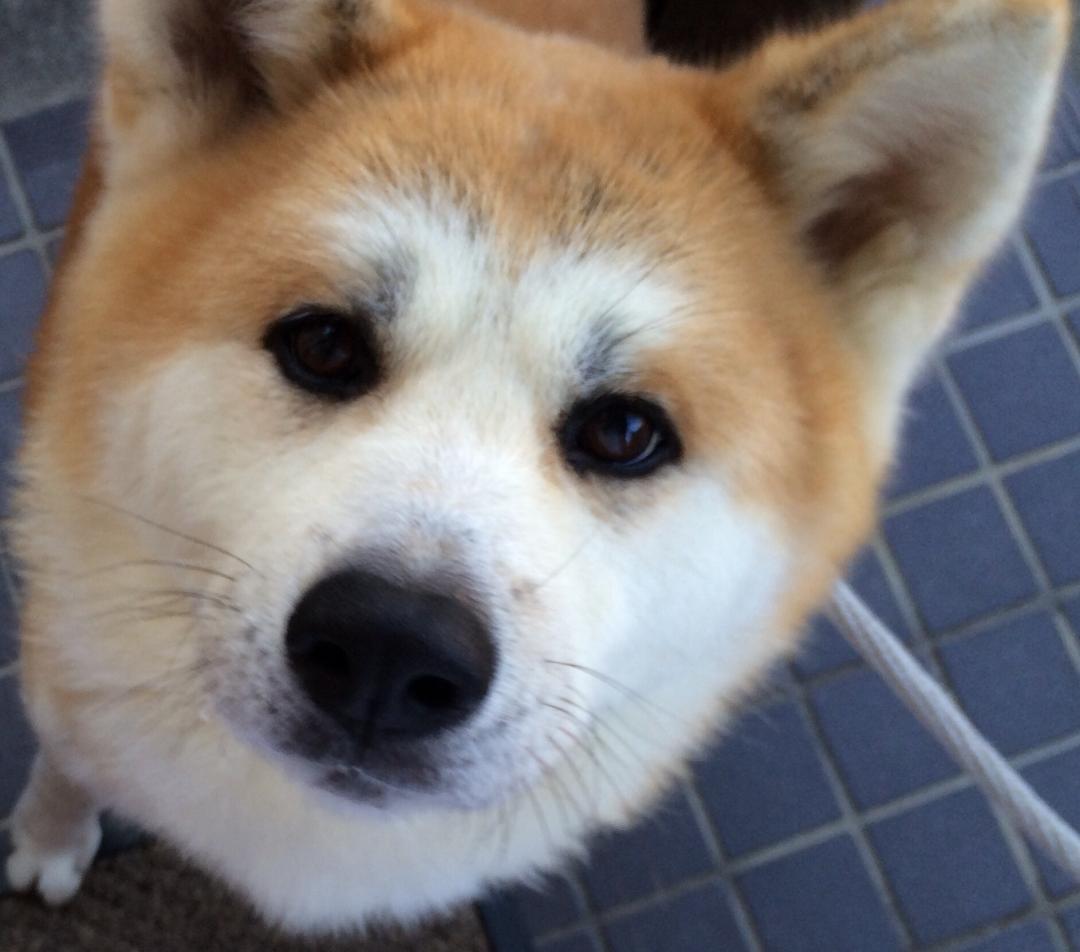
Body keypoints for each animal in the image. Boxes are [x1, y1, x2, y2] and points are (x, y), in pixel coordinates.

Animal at [4, 0, 1067, 937]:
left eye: (626, 432)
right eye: (322, 345)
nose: (391, 645)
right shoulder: (67, 672)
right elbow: (67, 765)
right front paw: (47, 842)